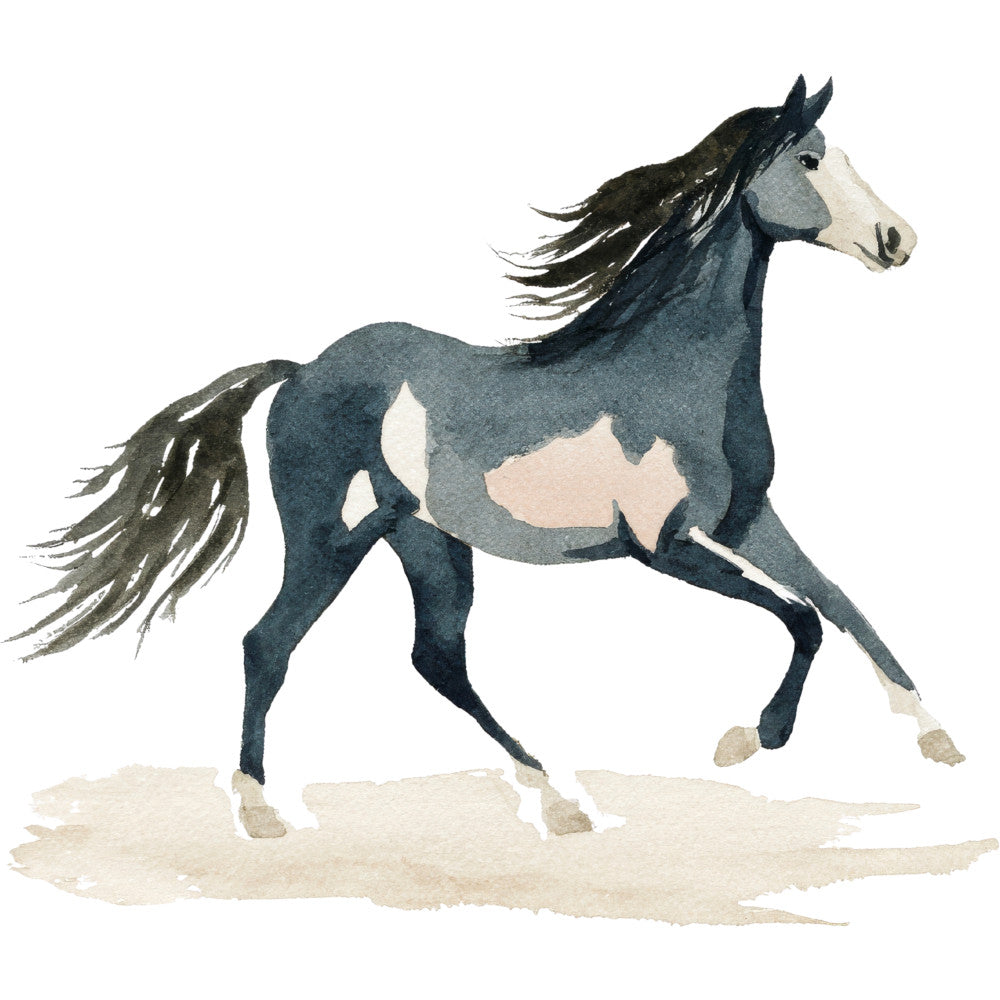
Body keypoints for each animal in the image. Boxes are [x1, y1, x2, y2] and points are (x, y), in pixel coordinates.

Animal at [16, 77, 964, 838]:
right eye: (809, 158)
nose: (897, 239)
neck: (676, 368)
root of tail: (301, 372)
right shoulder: (665, 546)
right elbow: (803, 619)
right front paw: (748, 739)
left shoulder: (748, 521)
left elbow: (843, 604)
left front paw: (939, 738)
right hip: (333, 537)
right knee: (268, 645)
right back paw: (260, 811)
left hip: (425, 540)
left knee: (435, 657)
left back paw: (559, 801)